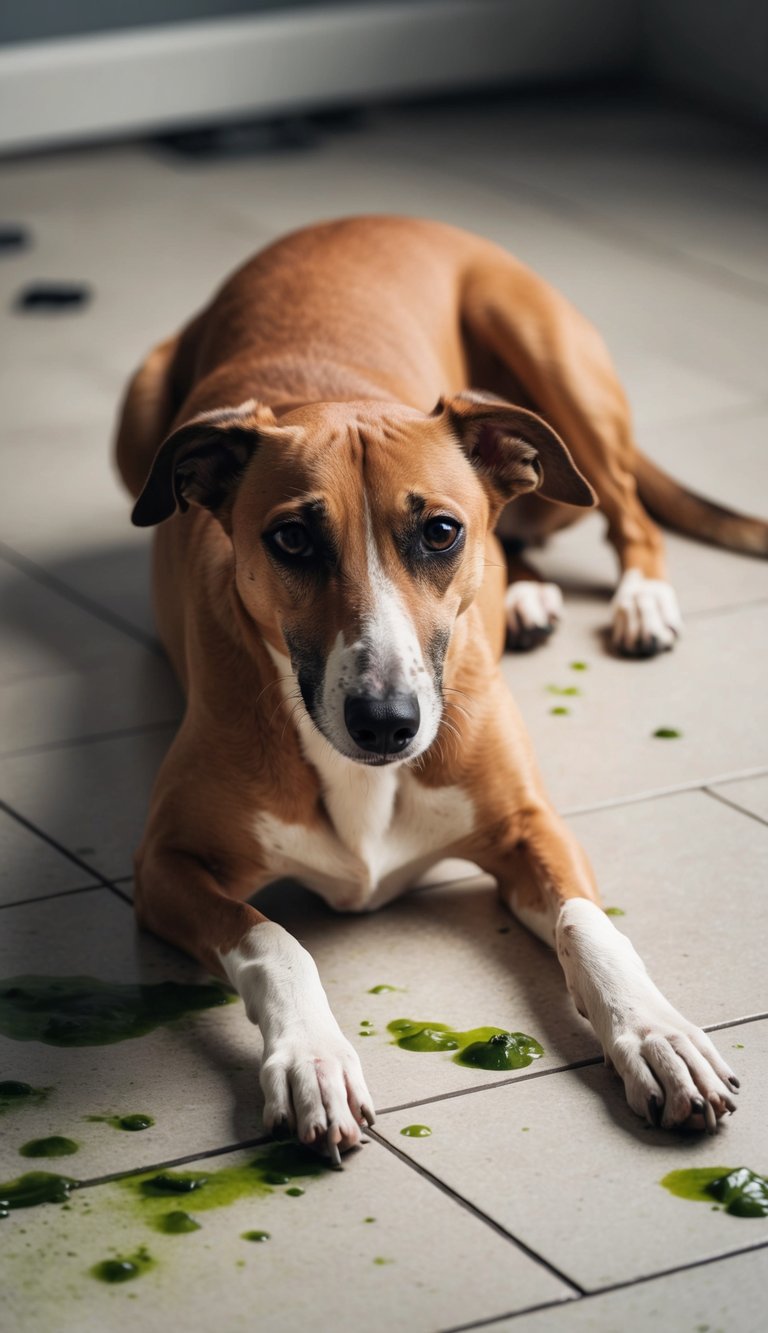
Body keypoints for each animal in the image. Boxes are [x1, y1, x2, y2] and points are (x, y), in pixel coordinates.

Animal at [116, 217, 765, 1163]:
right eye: (290, 540)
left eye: (441, 532)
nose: (386, 722)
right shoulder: (164, 862)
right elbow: (273, 938)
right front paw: (312, 1058)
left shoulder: (530, 823)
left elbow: (588, 924)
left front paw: (656, 1034)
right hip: (138, 403)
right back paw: (526, 594)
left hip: (551, 364)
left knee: (623, 507)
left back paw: (638, 598)